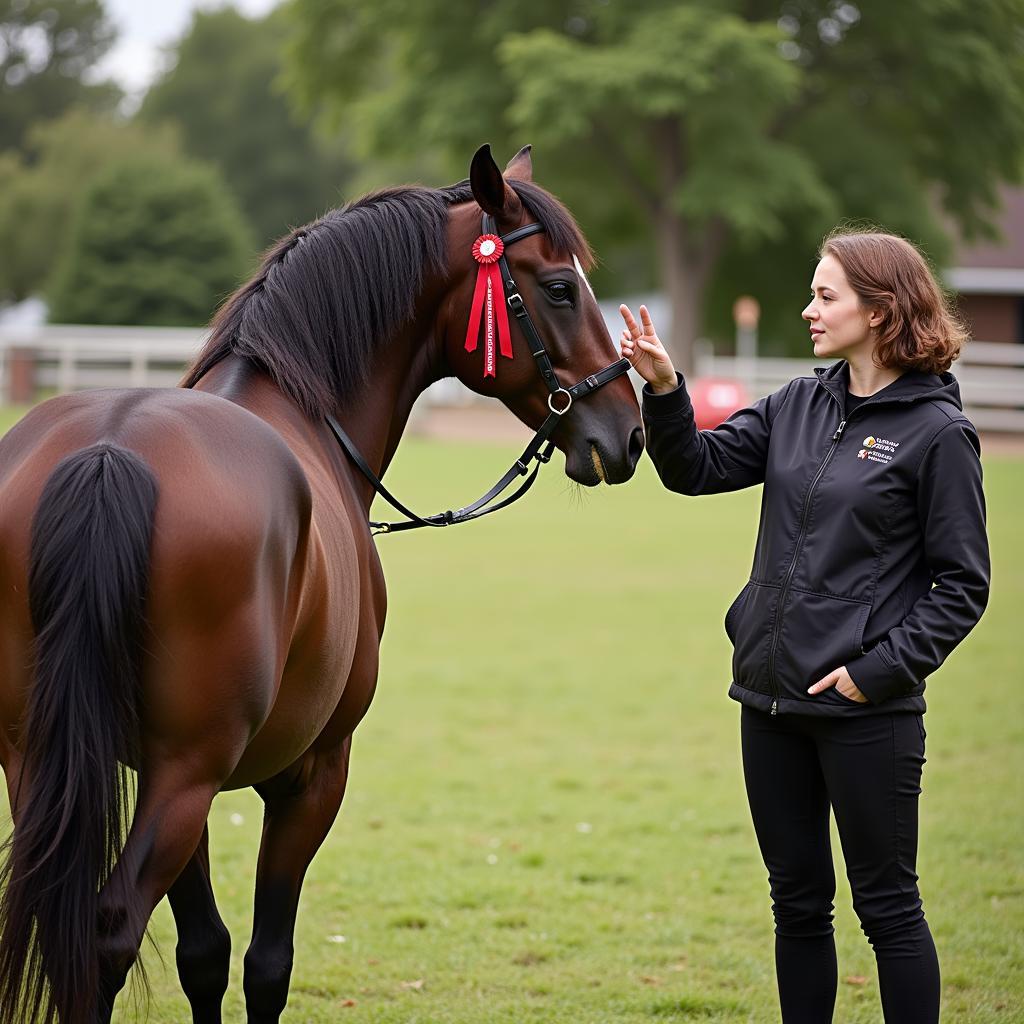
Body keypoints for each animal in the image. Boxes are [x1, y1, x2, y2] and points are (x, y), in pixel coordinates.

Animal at [0, 146, 643, 1024]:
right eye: (558, 288)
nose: (630, 432)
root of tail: (109, 449)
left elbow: (205, 954)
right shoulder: (310, 774)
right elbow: (267, 963)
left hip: (47, 762)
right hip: (182, 776)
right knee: (106, 933)